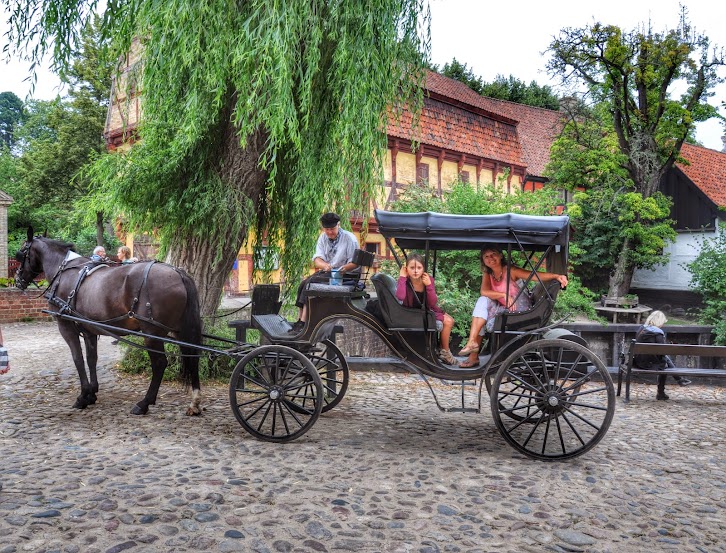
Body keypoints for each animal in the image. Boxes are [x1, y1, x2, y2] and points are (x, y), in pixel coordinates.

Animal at [15, 227, 203, 414]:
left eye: (22, 252)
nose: (17, 280)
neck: (63, 271)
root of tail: (178, 273)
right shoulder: (89, 329)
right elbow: (91, 358)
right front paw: (91, 393)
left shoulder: (66, 326)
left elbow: (78, 358)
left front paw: (82, 396)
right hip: (179, 330)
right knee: (193, 357)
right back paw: (194, 402)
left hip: (152, 332)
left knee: (159, 363)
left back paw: (144, 403)